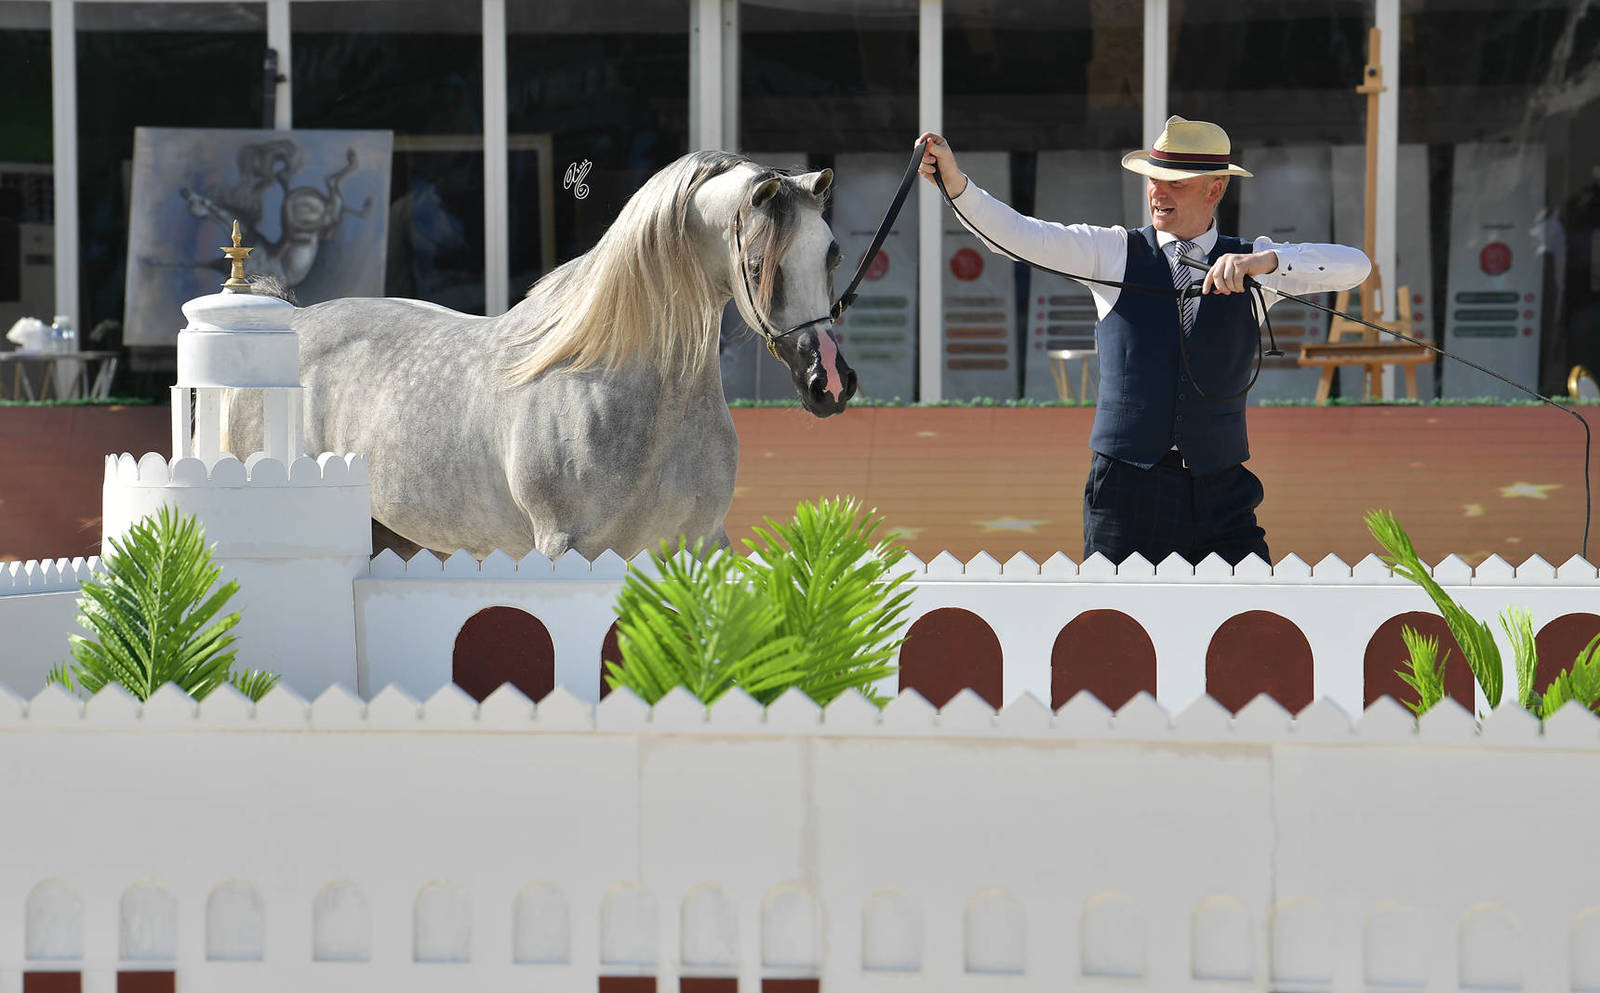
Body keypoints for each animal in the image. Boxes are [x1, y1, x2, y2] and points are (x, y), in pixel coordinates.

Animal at [225, 151, 857, 561]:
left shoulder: (701, 546)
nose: (827, 380)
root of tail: (289, 321)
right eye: (758, 265)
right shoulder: (564, 547)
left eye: (831, 253)